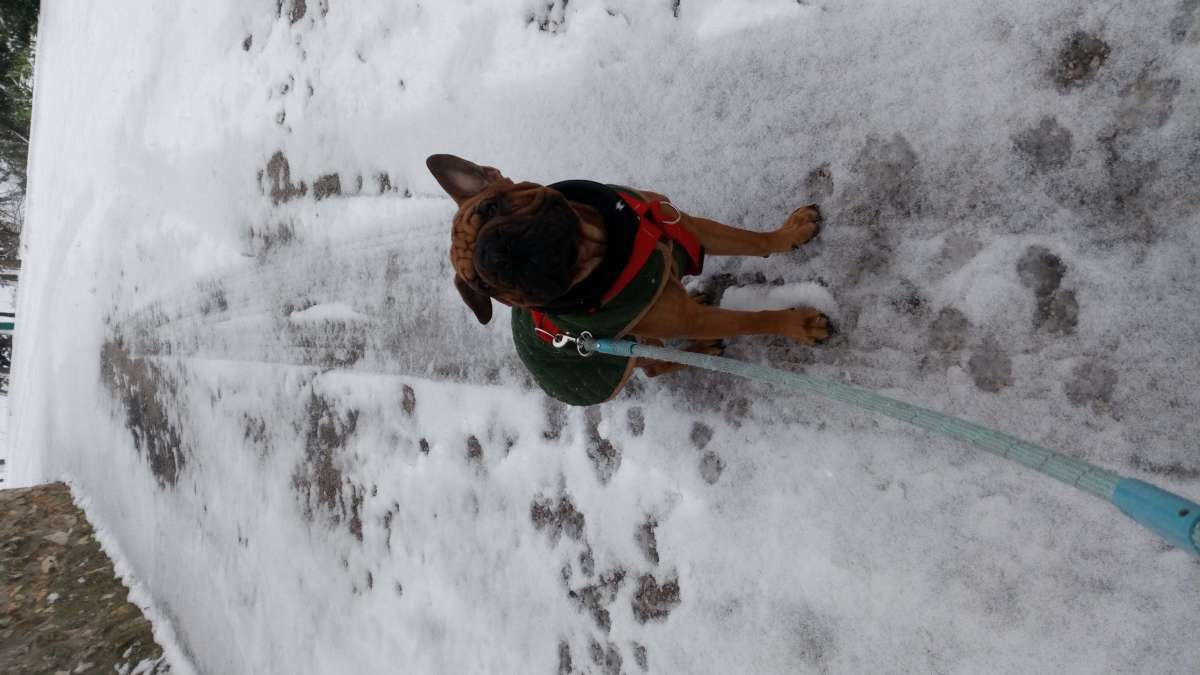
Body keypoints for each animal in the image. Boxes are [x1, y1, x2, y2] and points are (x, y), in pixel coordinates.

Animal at [427, 153, 830, 384]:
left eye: (491, 207)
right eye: (483, 285)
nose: (490, 255)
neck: (602, 251)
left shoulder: (688, 228)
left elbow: (749, 240)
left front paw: (791, 232)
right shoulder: (690, 320)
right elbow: (750, 320)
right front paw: (798, 324)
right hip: (624, 353)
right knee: (654, 364)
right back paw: (701, 350)